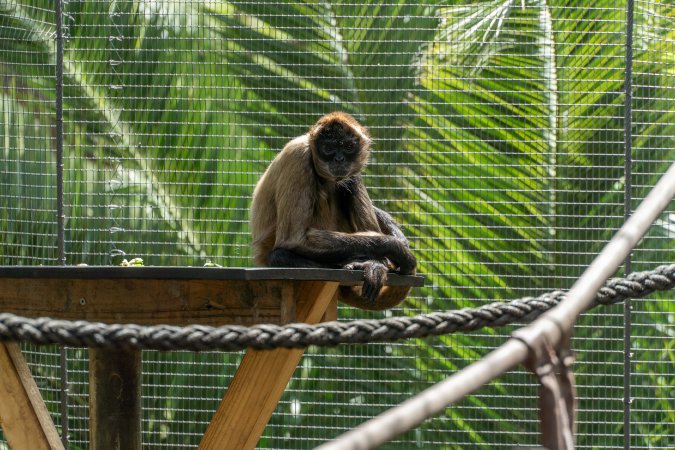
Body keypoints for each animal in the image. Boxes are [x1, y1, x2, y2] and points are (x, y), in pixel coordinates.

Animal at [250, 112, 416, 310]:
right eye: (328, 148)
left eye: (348, 147)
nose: (339, 159)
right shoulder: (298, 156)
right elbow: (294, 239)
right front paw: (394, 246)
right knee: (279, 256)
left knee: (351, 179)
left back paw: (374, 264)